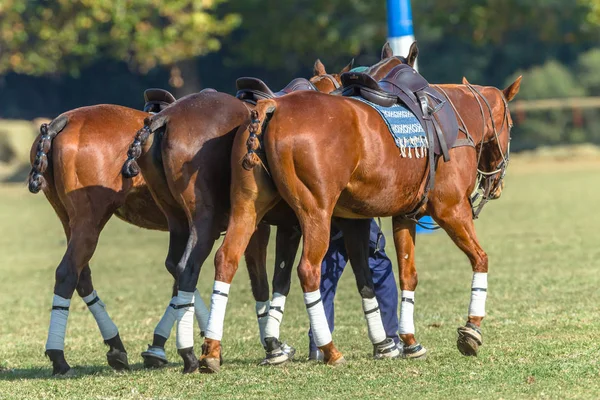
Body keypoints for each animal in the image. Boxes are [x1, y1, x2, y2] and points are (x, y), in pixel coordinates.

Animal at [199, 46, 524, 368]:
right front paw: (471, 330)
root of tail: (272, 107)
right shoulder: (452, 209)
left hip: (248, 207)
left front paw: (407, 342)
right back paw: (329, 349)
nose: (496, 184)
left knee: (226, 259)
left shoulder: (401, 216)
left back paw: (212, 351)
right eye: (510, 125)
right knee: (308, 270)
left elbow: (405, 274)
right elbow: (480, 259)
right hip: (315, 212)